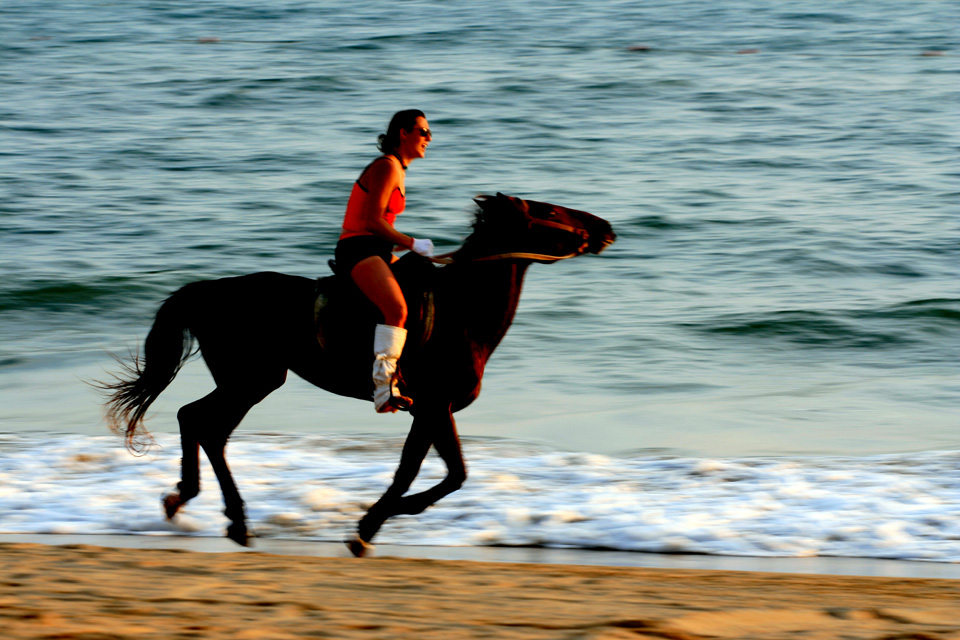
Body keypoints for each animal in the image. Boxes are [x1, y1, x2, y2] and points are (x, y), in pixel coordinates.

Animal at [99, 192, 616, 552]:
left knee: (203, 425)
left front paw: (380, 519)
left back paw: (204, 506)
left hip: (251, 381)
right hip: (252, 379)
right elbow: (425, 474)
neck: (463, 310)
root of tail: (208, 290)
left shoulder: (434, 410)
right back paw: (222, 512)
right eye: (550, 210)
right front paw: (369, 525)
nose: (605, 227)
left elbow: (445, 473)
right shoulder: (433, 406)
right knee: (200, 423)